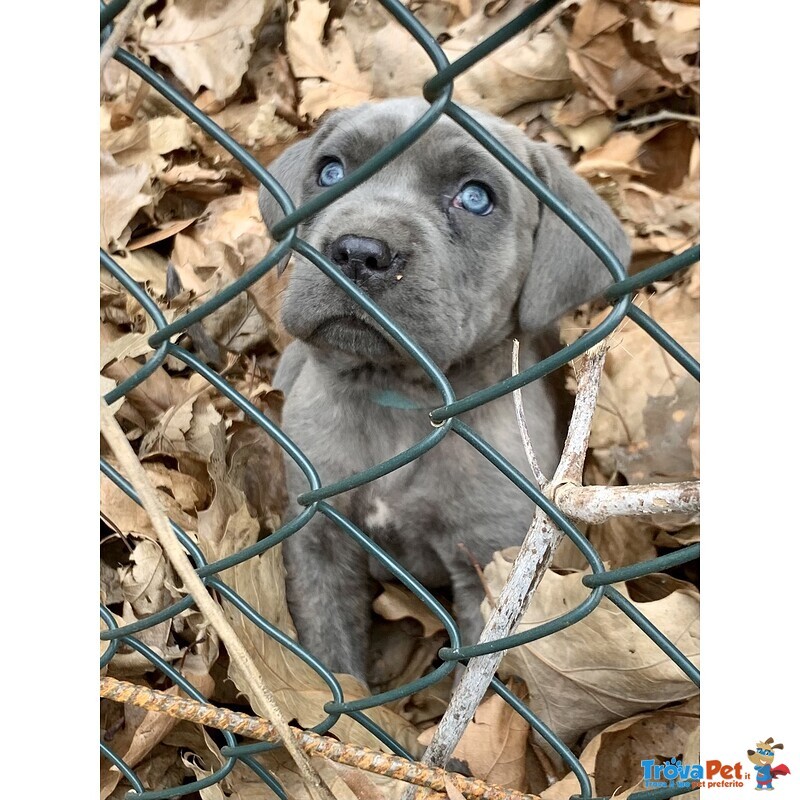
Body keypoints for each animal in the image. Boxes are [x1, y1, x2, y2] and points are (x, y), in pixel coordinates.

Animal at [260, 97, 628, 680]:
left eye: (476, 198)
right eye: (330, 172)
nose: (358, 251)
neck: (402, 401)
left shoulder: (489, 567)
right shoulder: (320, 541)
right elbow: (333, 658)